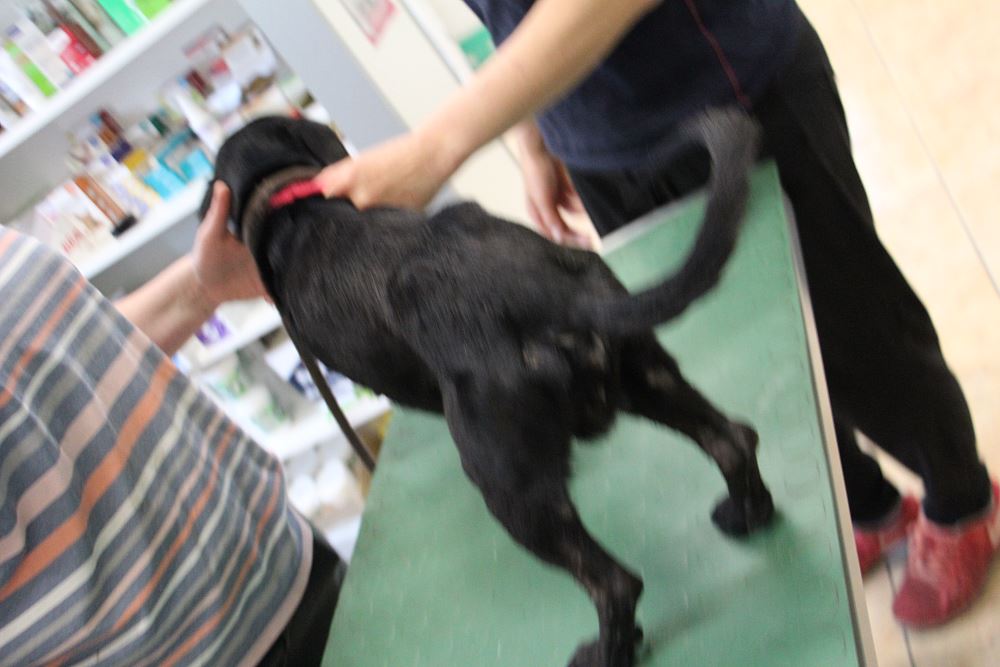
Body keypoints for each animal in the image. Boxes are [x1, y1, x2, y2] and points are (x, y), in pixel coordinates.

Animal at [203, 109, 775, 667]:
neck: (290, 200)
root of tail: (538, 295)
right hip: (650, 379)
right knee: (732, 440)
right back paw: (750, 514)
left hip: (507, 488)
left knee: (614, 584)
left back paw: (606, 652)